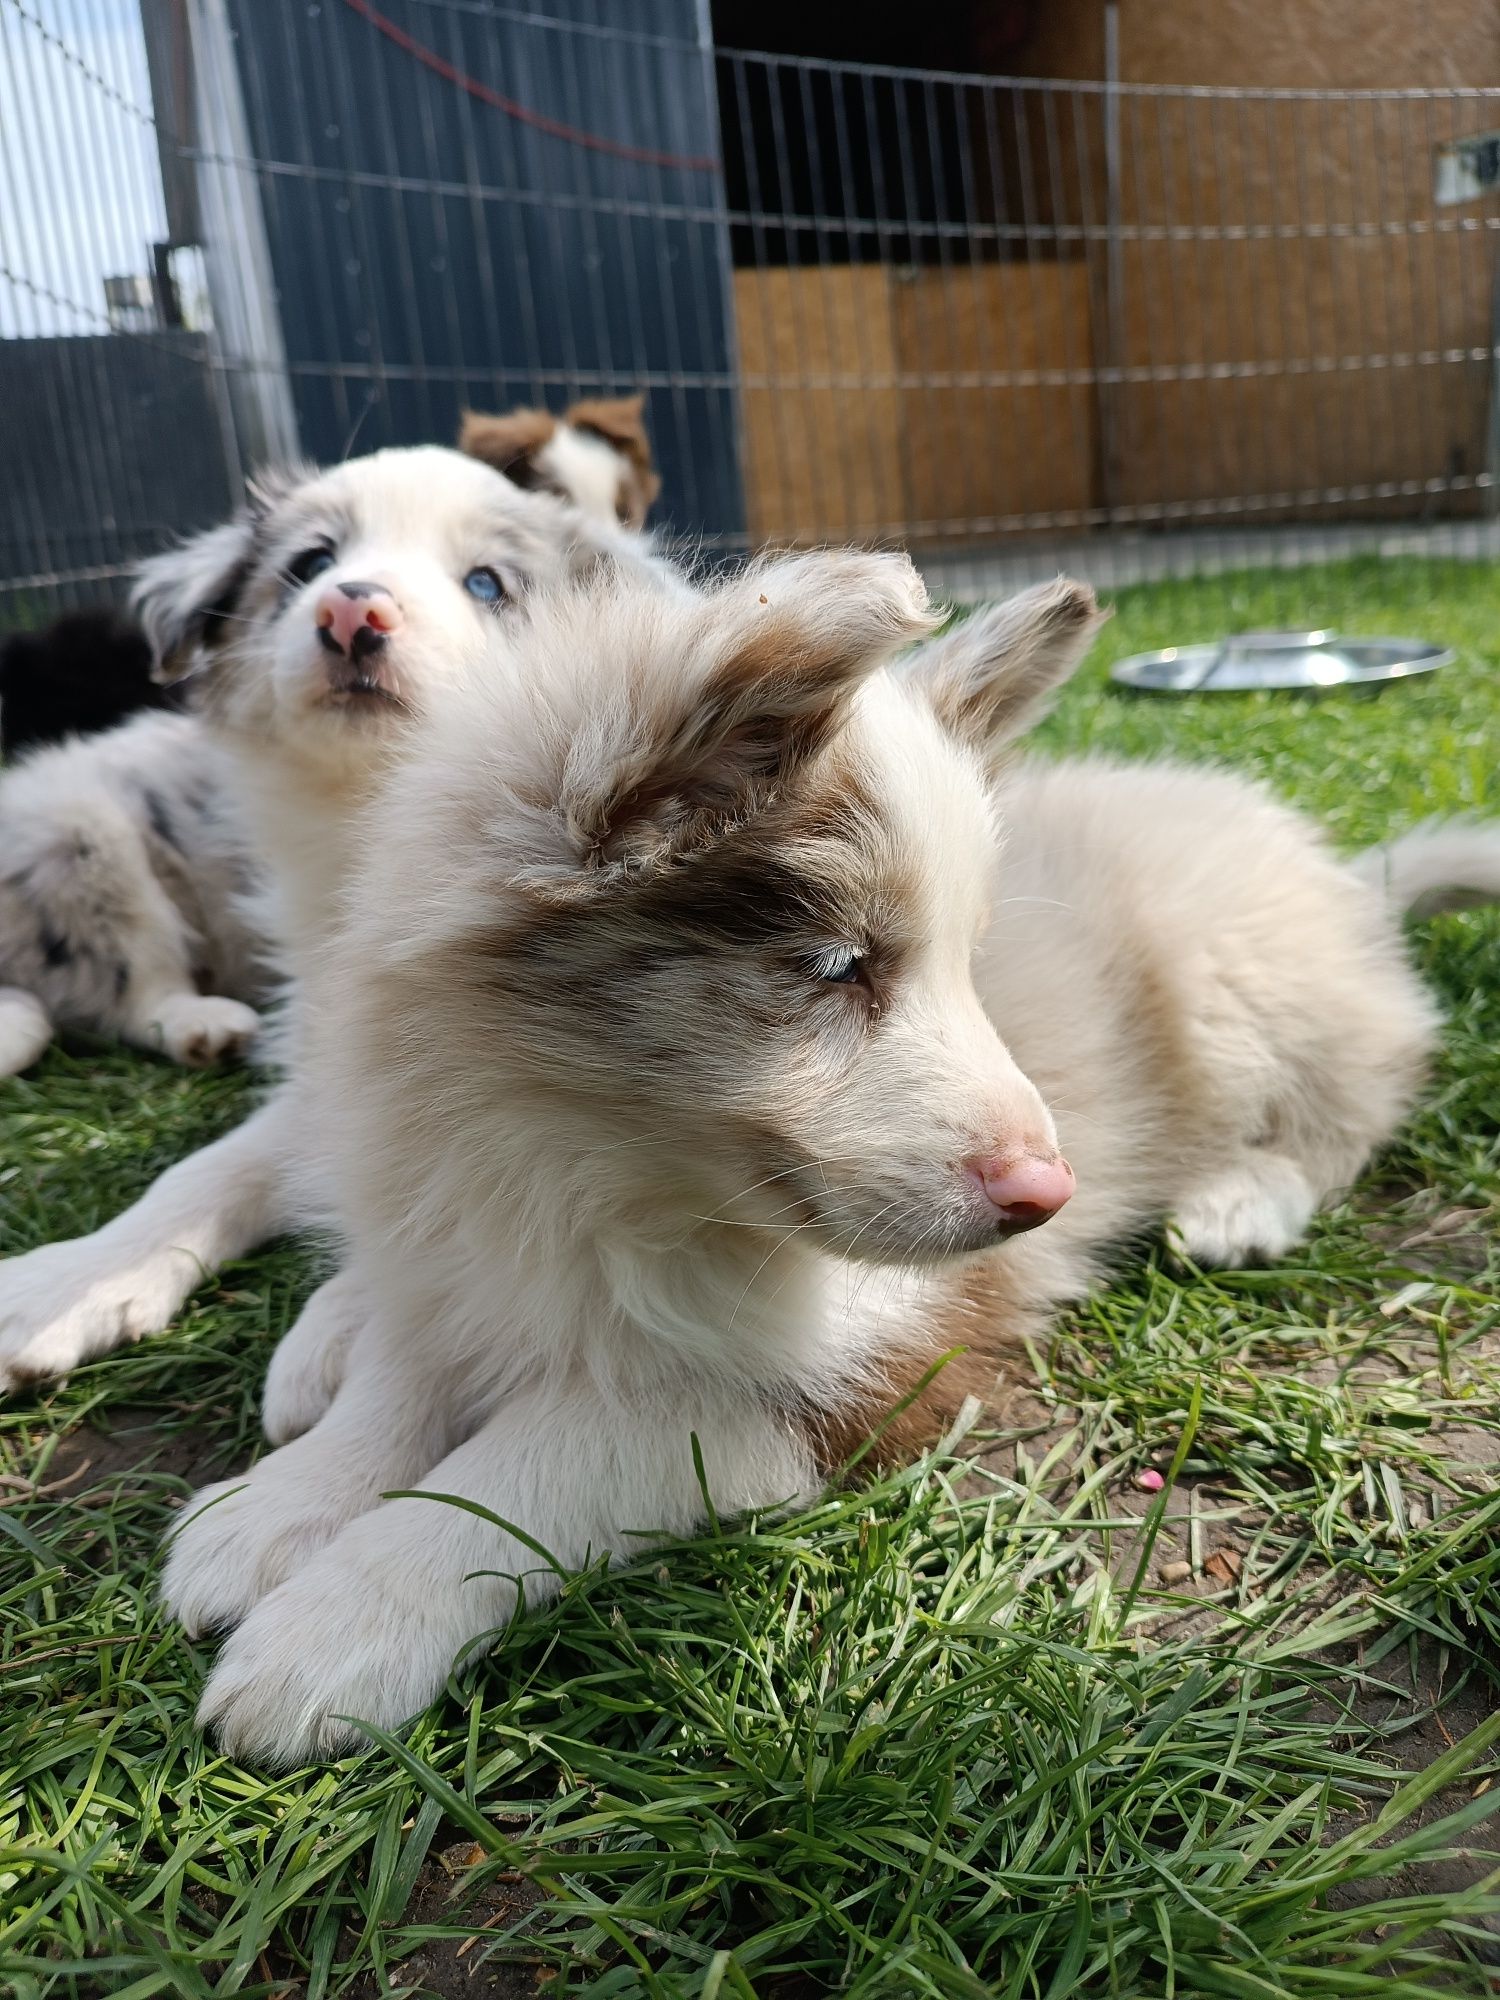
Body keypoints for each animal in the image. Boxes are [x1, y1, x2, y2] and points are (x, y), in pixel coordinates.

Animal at [156, 556, 1500, 1760]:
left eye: (967, 961)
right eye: (837, 965)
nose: (1049, 1193)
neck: (588, 1162)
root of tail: (1343, 878)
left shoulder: (858, 1375)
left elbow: (537, 1457)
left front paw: (336, 1623)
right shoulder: (446, 1224)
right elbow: (405, 1364)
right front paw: (282, 1505)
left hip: (1233, 986)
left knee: (1369, 1080)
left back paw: (1244, 1195)